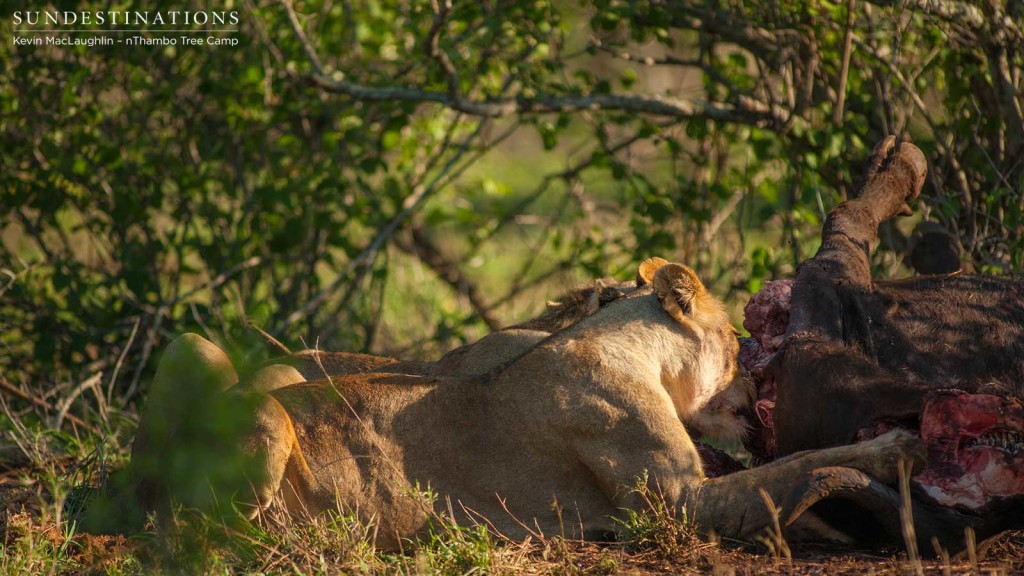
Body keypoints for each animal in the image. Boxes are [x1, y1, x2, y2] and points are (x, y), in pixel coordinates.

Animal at [125, 259, 921, 545]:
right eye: (732, 338)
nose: (758, 386)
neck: (619, 343)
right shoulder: (678, 504)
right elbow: (798, 464)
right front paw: (894, 448)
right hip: (261, 425)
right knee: (204, 528)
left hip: (193, 348)